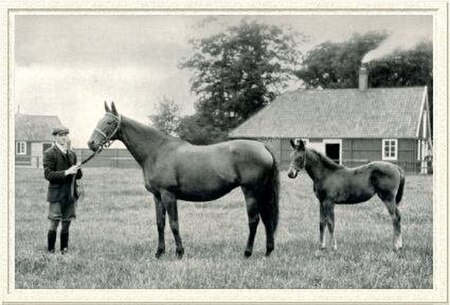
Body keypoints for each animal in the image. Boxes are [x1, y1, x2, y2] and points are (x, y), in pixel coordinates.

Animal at [86, 101, 280, 256]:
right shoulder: (157, 196)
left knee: (254, 220)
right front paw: (159, 252)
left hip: (251, 192)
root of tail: (263, 146)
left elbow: (174, 223)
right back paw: (268, 251)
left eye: (109, 122)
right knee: (266, 218)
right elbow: (160, 224)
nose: (91, 143)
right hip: (261, 192)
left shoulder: (168, 195)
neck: (156, 151)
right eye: (99, 121)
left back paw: (247, 253)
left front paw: (179, 252)